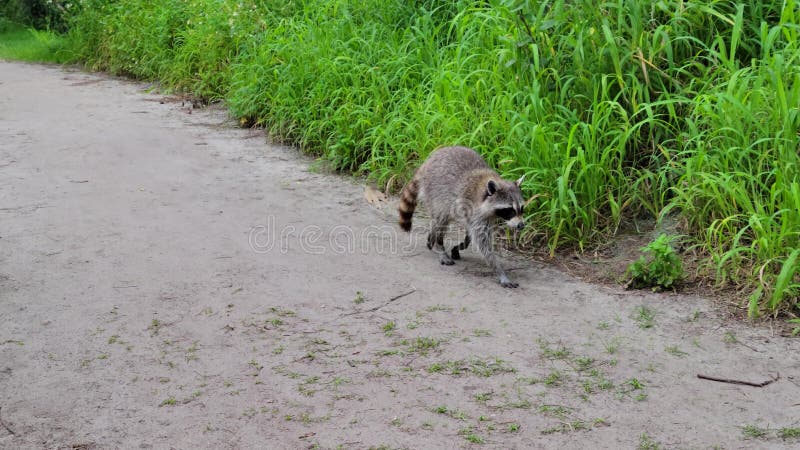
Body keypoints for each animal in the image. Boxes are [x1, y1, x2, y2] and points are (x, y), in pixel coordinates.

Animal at [398, 146, 526, 288]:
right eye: (510, 210)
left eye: (521, 209)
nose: (521, 225)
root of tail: (428, 161)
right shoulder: (471, 209)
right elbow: (483, 243)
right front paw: (499, 270)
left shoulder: (477, 215)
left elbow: (471, 235)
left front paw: (462, 244)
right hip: (435, 193)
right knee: (441, 220)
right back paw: (439, 245)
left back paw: (433, 238)